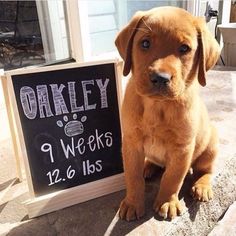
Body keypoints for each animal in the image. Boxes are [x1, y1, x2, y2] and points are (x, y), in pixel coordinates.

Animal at [115, 7, 220, 221]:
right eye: (145, 43)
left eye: (184, 48)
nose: (160, 78)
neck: (157, 106)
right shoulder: (130, 142)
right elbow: (133, 177)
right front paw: (132, 202)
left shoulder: (182, 148)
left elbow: (172, 178)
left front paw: (166, 202)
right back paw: (148, 166)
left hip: (211, 144)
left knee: (205, 170)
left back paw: (202, 186)